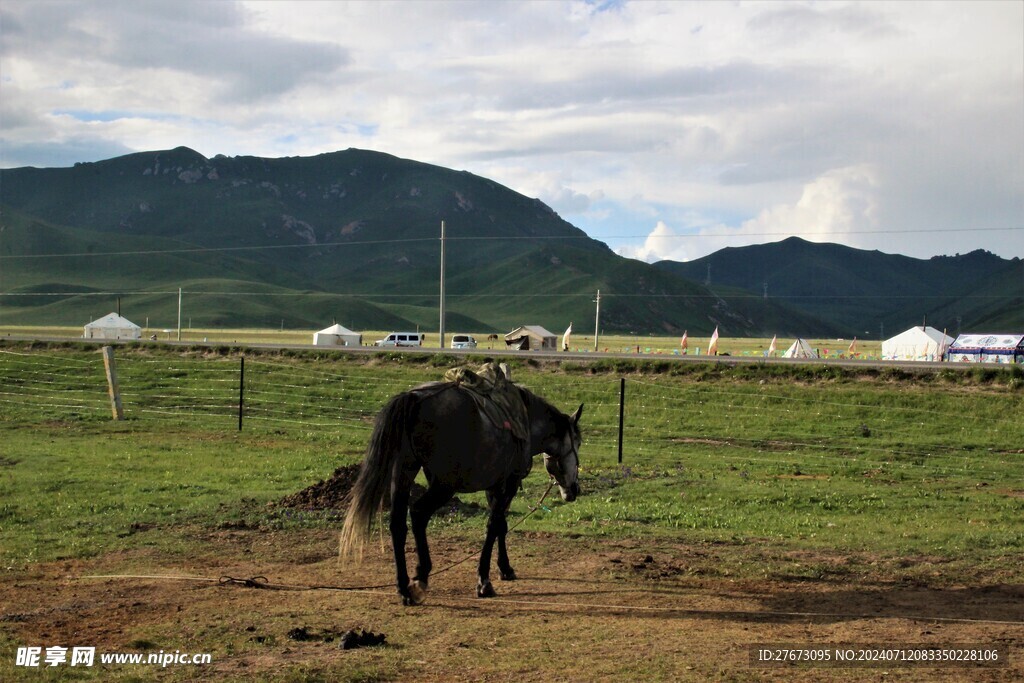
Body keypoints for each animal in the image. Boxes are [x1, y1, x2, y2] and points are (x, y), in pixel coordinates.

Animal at [339, 376, 585, 606]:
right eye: (578, 443)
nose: (574, 489)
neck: (525, 420)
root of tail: (414, 397)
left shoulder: (494, 487)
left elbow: (501, 526)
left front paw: (505, 568)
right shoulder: (509, 484)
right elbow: (493, 526)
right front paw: (484, 581)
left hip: (403, 473)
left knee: (398, 525)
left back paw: (403, 587)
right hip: (444, 486)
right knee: (418, 513)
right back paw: (421, 576)